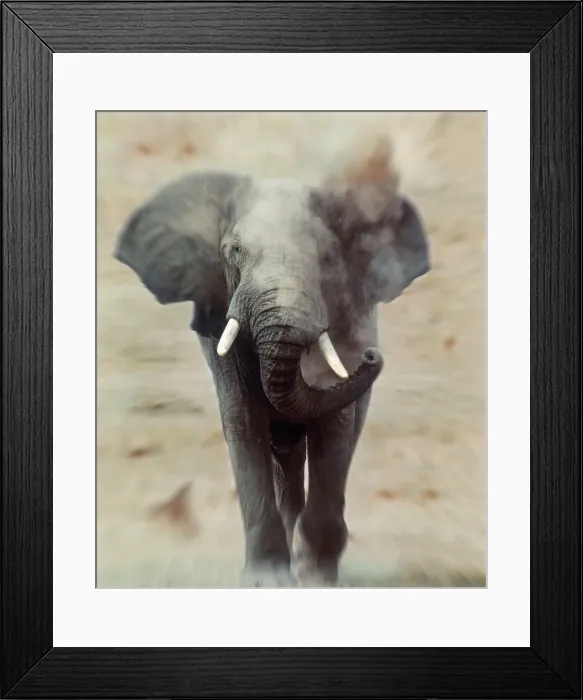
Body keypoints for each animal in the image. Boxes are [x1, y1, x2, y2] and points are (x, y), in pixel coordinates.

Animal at [113, 169, 431, 587]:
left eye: (328, 258)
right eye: (234, 251)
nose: (370, 355)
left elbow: (332, 431)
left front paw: (316, 578)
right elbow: (243, 420)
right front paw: (269, 581)